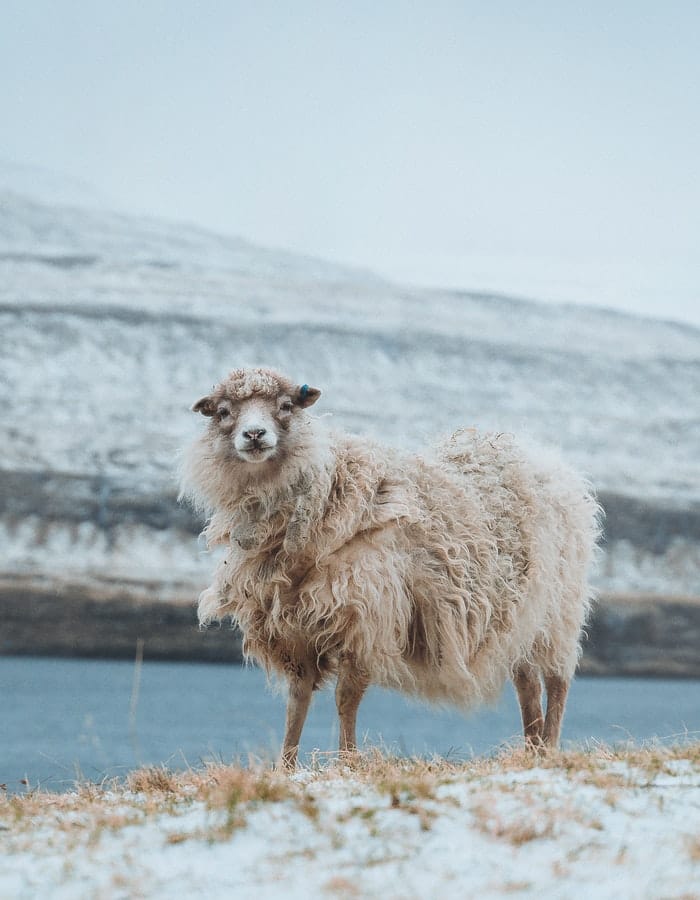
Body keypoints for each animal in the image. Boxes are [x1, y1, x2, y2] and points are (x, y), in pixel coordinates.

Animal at [180, 366, 600, 768]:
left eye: (286, 406)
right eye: (223, 412)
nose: (254, 434)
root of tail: (544, 457)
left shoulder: (365, 620)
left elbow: (346, 698)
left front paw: (347, 762)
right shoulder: (293, 631)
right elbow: (296, 703)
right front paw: (285, 767)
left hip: (559, 610)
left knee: (557, 680)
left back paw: (550, 746)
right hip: (521, 619)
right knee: (527, 683)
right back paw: (533, 750)